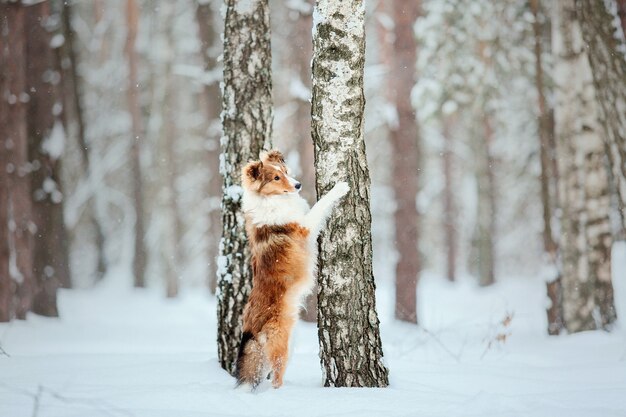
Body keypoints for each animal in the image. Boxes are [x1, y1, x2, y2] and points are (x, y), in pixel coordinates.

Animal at [235, 149, 352, 386]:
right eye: (276, 178)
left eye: (285, 171)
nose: (298, 185)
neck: (272, 200)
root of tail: (249, 328)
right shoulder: (305, 226)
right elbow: (320, 204)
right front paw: (339, 188)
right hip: (282, 345)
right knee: (276, 380)